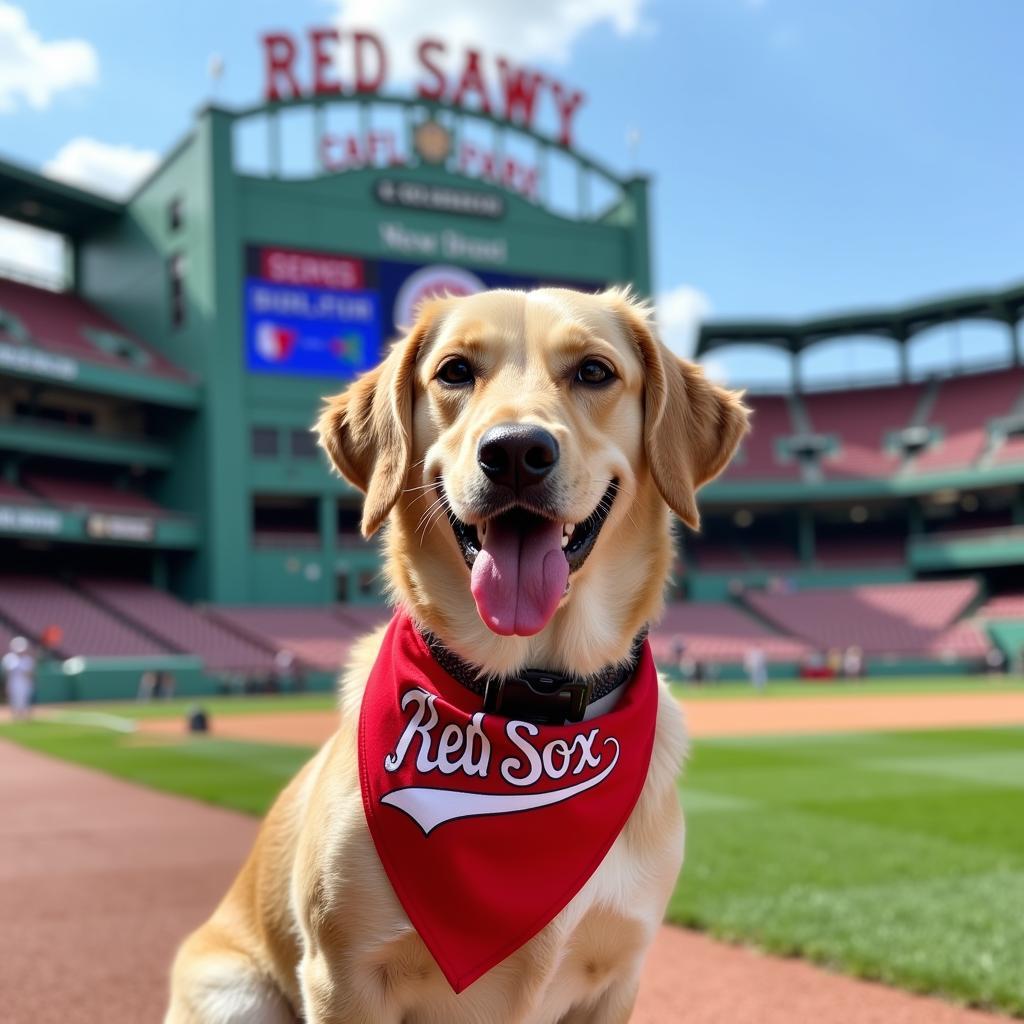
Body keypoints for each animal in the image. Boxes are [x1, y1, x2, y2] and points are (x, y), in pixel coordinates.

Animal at [165, 284, 745, 1019]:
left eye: (593, 371)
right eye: (455, 371)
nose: (517, 451)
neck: (529, 707)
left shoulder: (617, 974)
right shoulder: (344, 975)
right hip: (233, 990)